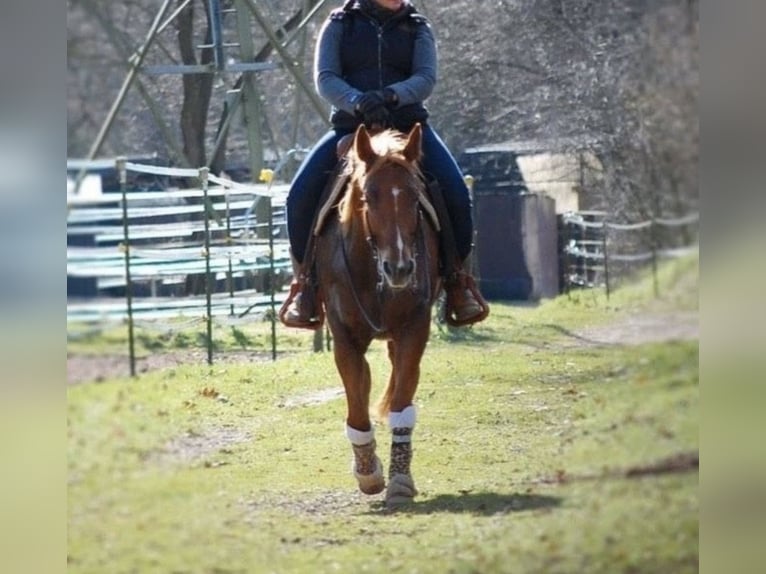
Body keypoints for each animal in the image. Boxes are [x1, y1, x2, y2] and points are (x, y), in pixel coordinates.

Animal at [314, 122, 444, 508]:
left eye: (415, 198)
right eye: (368, 196)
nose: (399, 268)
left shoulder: (414, 329)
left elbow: (401, 402)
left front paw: (399, 479)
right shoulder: (344, 338)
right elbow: (357, 406)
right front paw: (368, 473)